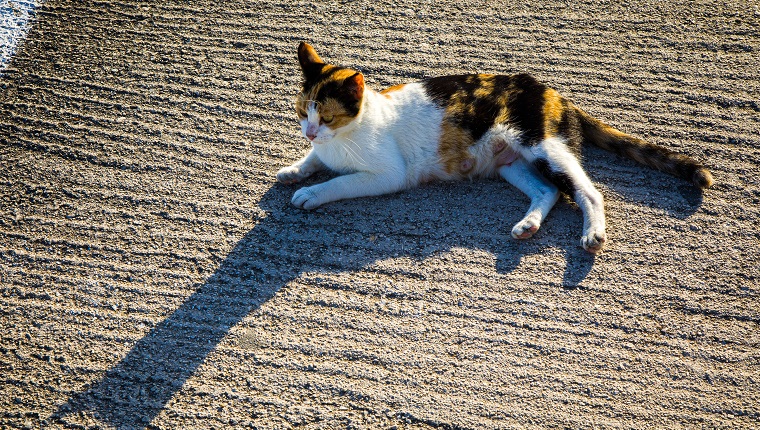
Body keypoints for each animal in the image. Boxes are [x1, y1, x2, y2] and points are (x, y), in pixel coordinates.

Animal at [278, 42, 712, 254]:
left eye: (327, 117)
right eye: (301, 112)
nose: (310, 132)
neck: (349, 132)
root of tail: (556, 94)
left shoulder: (389, 173)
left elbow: (340, 181)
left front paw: (311, 192)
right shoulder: (322, 149)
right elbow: (314, 160)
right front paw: (296, 169)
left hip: (541, 144)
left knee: (587, 191)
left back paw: (593, 235)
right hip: (511, 162)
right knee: (549, 190)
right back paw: (528, 224)